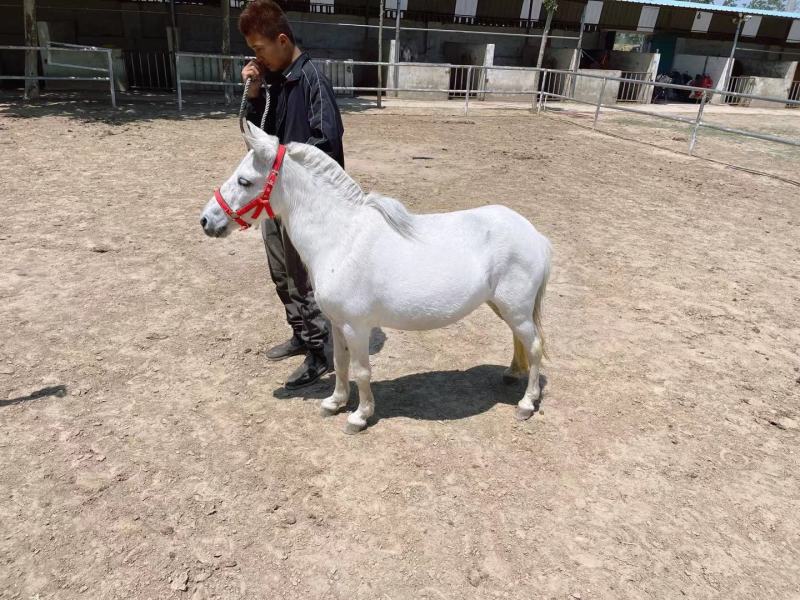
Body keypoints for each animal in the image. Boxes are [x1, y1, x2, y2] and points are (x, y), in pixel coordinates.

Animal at [200, 122, 552, 434]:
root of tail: (535, 235)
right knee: (521, 340)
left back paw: (526, 403)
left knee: (534, 346)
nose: (206, 220)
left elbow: (361, 371)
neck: (341, 238)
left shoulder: (356, 327)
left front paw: (359, 416)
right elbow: (340, 363)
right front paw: (334, 402)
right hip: (504, 307)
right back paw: (511, 374)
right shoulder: (338, 324)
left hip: (516, 309)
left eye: (244, 181)